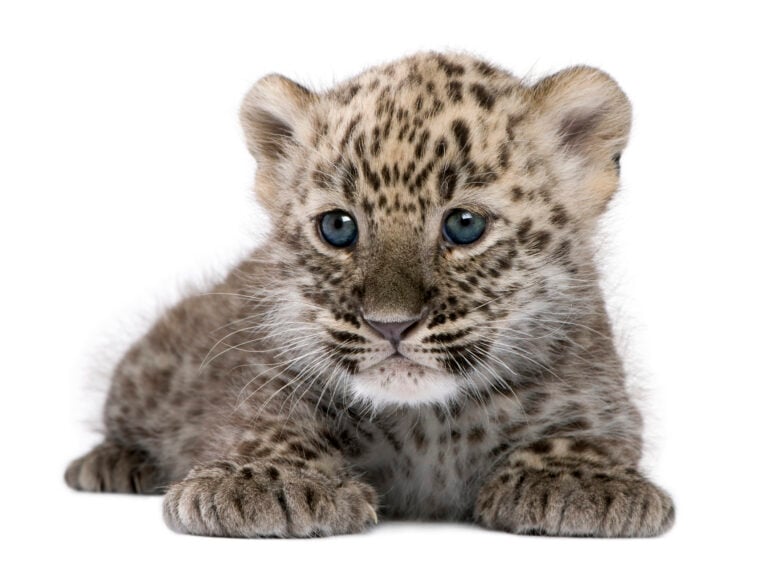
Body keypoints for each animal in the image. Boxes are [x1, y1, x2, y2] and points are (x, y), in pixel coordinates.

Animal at [65, 52, 674, 538]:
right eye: (338, 228)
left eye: (465, 226)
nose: (390, 324)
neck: (430, 426)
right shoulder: (261, 378)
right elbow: (264, 424)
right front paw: (271, 482)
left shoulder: (596, 393)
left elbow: (582, 435)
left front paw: (580, 481)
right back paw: (112, 463)